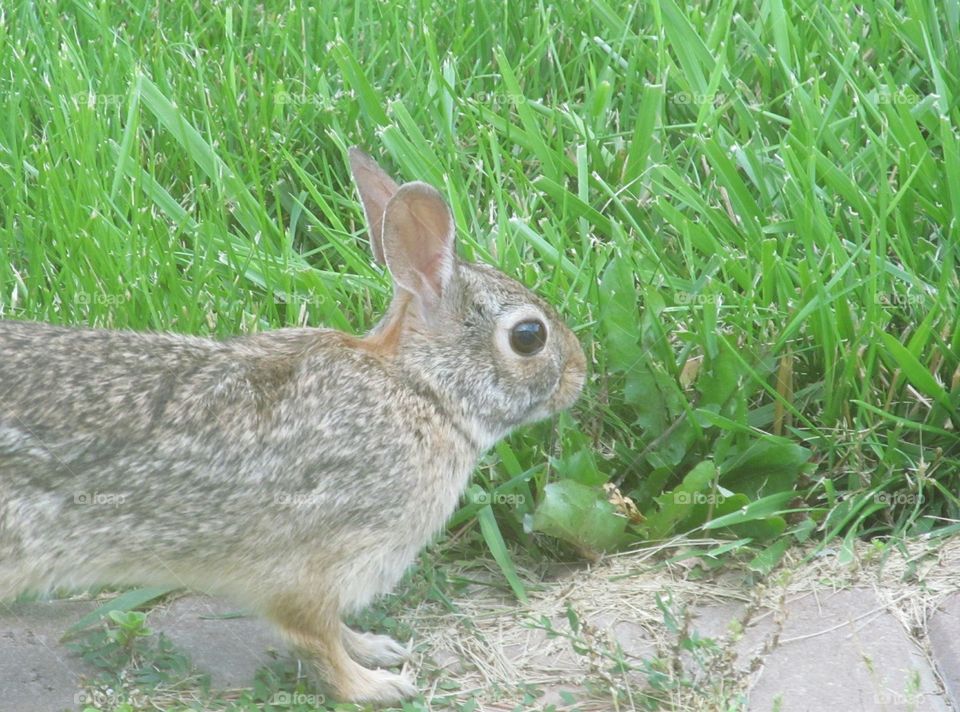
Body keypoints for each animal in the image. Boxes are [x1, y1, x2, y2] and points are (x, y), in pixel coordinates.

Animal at [0, 148, 587, 704]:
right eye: (529, 336)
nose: (581, 372)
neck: (423, 389)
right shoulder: (312, 566)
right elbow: (315, 638)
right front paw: (374, 687)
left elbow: (337, 631)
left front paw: (376, 648)